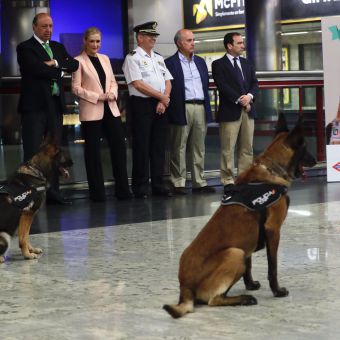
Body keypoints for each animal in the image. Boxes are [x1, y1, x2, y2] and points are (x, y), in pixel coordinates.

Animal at [164, 115, 316, 318]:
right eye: (305, 147)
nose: (315, 160)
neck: (271, 169)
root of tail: (185, 287)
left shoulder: (249, 243)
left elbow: (249, 266)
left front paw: (250, 284)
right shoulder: (273, 230)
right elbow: (273, 267)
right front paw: (277, 291)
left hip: (240, 253)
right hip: (235, 253)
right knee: (213, 300)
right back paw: (244, 299)